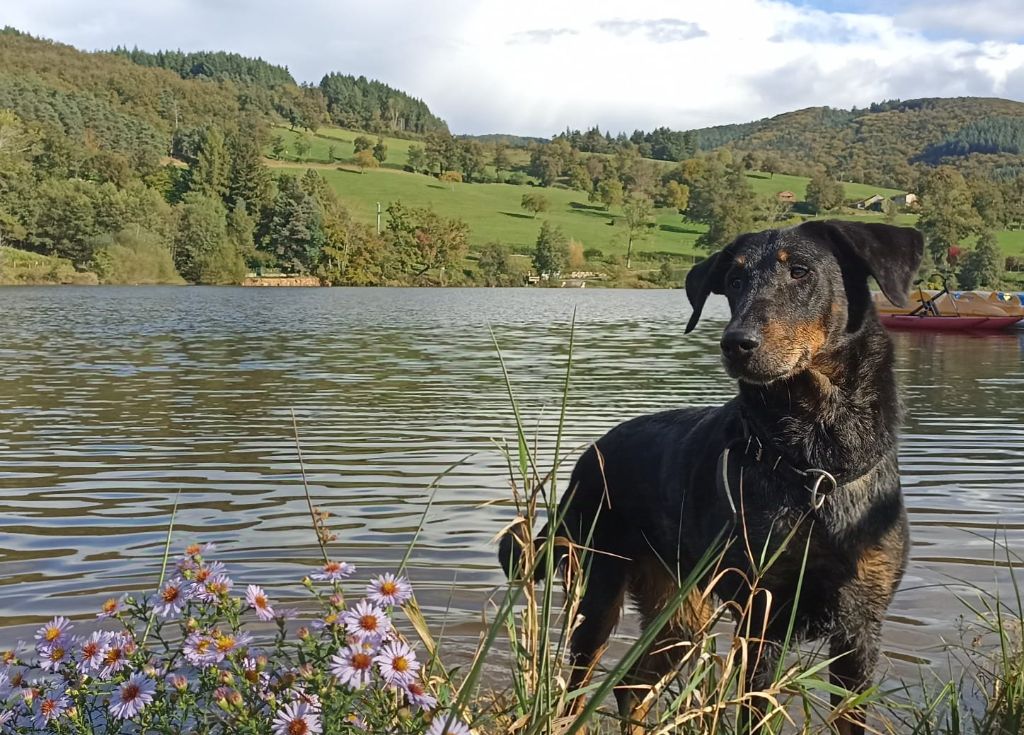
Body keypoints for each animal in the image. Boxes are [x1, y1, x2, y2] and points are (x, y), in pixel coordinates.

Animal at [499, 220, 925, 735]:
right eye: (735, 281)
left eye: (800, 271)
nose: (735, 342)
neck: (817, 460)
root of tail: (591, 453)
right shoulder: (762, 616)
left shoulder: (861, 624)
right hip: (598, 588)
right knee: (577, 690)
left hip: (683, 612)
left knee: (631, 687)